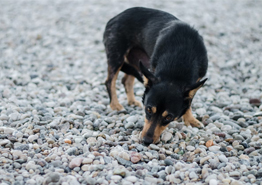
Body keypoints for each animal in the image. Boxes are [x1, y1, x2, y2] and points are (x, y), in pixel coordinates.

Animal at [103, 7, 208, 145]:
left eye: (169, 117)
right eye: (148, 110)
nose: (146, 141)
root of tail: (115, 17)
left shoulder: (195, 81)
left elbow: (189, 102)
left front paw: (190, 119)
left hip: (137, 61)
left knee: (126, 80)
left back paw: (131, 101)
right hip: (117, 57)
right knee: (110, 81)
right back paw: (115, 105)